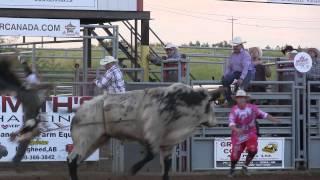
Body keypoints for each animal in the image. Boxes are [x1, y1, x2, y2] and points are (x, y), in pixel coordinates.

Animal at [67, 83, 222, 180]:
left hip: (97, 140)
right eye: (210, 105)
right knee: (72, 160)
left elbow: (166, 167)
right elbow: (150, 155)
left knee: (75, 161)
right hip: (85, 140)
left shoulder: (167, 144)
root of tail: (78, 113)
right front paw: (133, 170)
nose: (216, 122)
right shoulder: (152, 135)